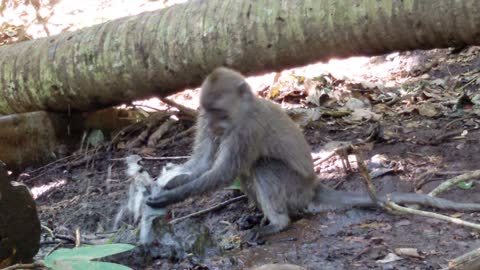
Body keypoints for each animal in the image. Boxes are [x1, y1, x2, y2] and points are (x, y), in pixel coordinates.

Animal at [147, 67, 480, 240]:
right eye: (207, 110)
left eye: (220, 111)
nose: (215, 126)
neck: (241, 111)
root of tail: (314, 186)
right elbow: (204, 163)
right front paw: (171, 184)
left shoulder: (246, 130)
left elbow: (222, 173)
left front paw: (168, 197)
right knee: (249, 170)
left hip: (294, 188)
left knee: (262, 166)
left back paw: (277, 223)